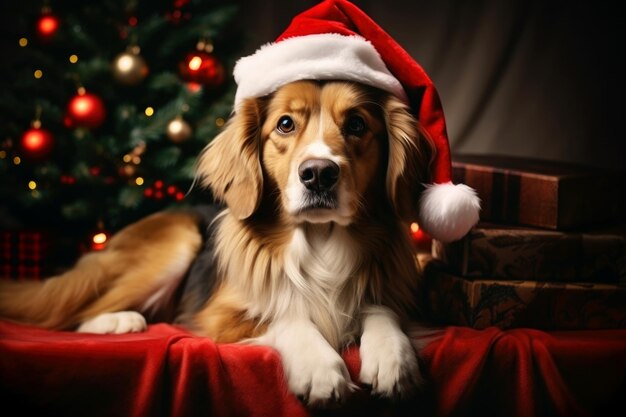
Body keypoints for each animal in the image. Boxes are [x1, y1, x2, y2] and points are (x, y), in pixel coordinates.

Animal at [0, 79, 434, 404]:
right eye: (285, 124)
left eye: (357, 125)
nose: (318, 174)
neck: (319, 242)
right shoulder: (220, 313)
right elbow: (285, 313)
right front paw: (318, 366)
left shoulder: (390, 292)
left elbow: (379, 309)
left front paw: (393, 357)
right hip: (176, 242)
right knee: (71, 314)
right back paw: (121, 320)